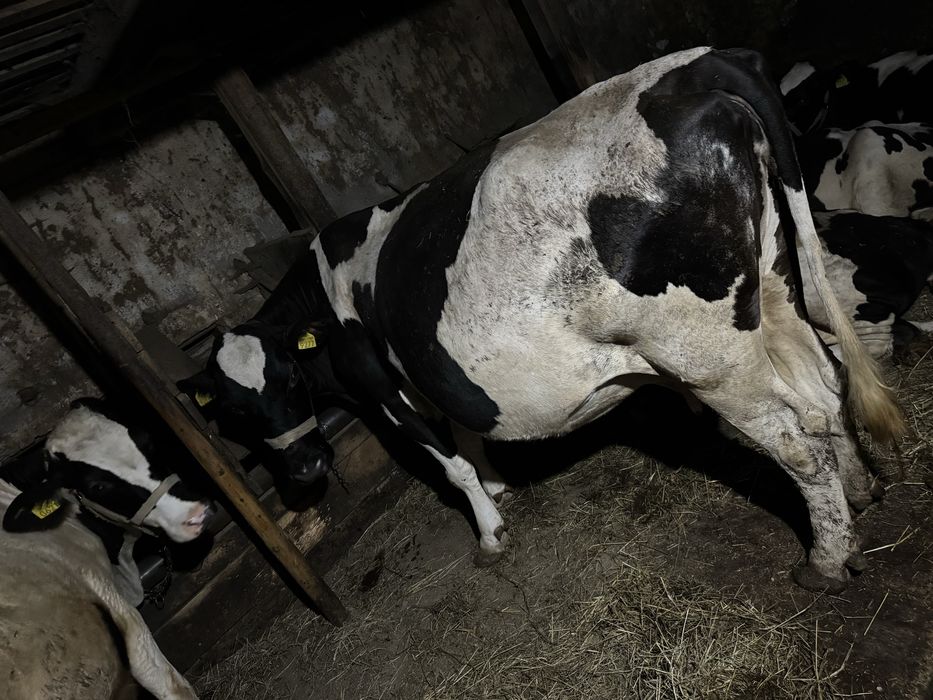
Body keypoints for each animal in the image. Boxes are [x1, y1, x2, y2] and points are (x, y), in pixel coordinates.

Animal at [180, 47, 905, 594]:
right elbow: (467, 430)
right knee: (823, 389)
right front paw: (500, 486)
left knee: (794, 438)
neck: (328, 283)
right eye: (233, 411)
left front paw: (488, 530)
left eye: (286, 381)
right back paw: (859, 498)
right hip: (774, 285)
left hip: (706, 353)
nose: (303, 469)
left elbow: (449, 462)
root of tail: (692, 66)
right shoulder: (433, 373)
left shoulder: (380, 388)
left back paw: (824, 560)